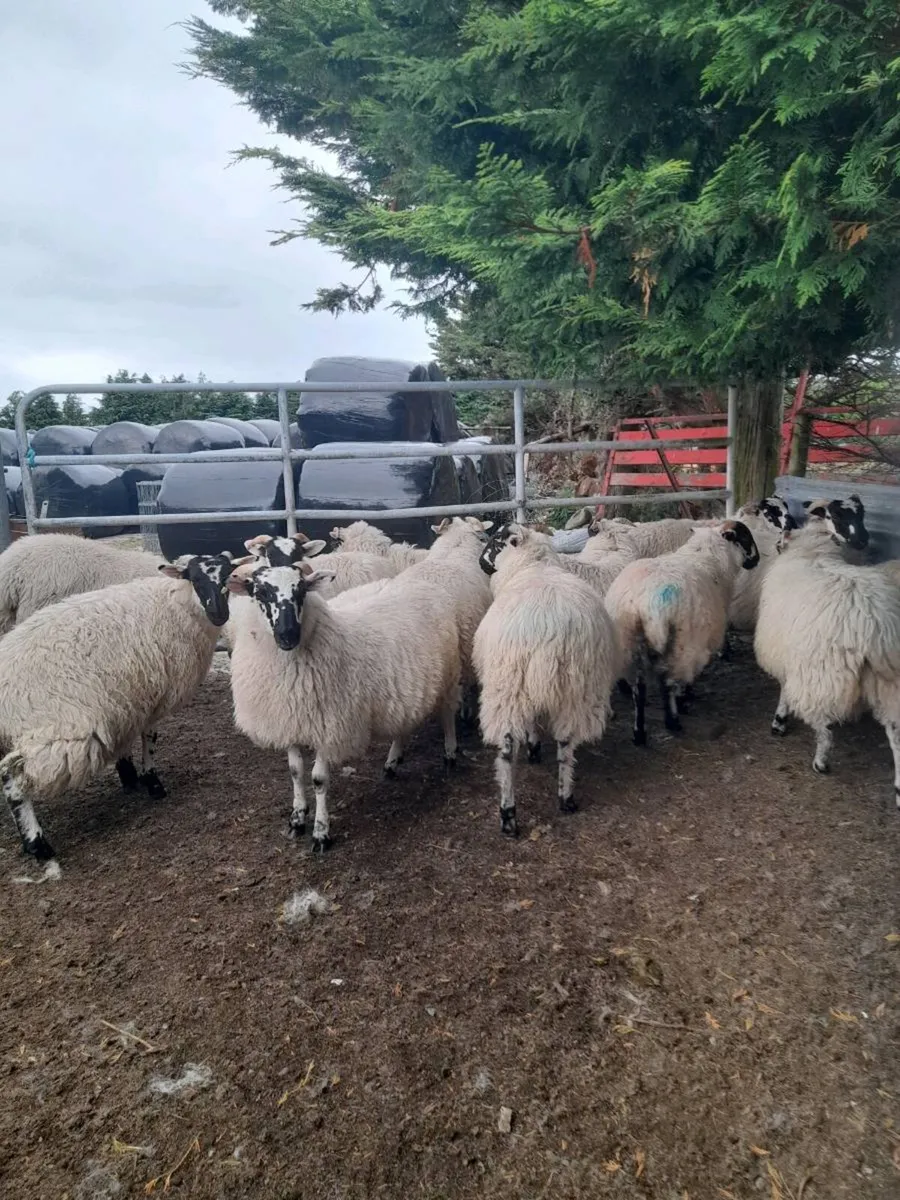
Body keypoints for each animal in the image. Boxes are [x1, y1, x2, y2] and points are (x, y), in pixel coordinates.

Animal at [0, 552, 238, 864]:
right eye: (195, 578)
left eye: (227, 577)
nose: (220, 614)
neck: (174, 604)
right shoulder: (155, 694)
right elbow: (149, 738)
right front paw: (152, 783)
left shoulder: (127, 699)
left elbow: (127, 739)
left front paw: (129, 775)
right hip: (58, 734)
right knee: (13, 779)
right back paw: (37, 843)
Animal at [226, 558, 462, 853]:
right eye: (260, 593)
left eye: (301, 590)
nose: (288, 635)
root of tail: (423, 584)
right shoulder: (289, 720)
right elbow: (295, 772)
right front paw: (297, 819)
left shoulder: (329, 726)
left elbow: (318, 780)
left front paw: (321, 833)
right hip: (407, 688)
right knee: (404, 724)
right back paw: (392, 762)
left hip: (449, 675)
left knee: (448, 714)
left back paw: (450, 755)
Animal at [472, 523, 622, 836]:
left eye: (495, 541)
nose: (480, 563)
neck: (533, 565)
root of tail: (551, 633)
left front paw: (533, 748)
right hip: (578, 688)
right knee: (566, 743)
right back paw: (566, 797)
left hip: (509, 686)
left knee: (507, 750)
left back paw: (508, 815)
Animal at [604, 520, 760, 744]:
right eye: (745, 536)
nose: (756, 560)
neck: (709, 554)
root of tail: (645, 603)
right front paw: (686, 698)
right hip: (680, 643)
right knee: (667, 682)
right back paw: (673, 720)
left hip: (630, 643)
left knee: (639, 691)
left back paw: (639, 733)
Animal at [754, 495, 900, 802]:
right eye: (838, 515)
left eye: (859, 515)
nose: (863, 541)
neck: (814, 549)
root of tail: (876, 627)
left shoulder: (789, 653)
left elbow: (784, 687)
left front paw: (780, 720)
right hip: (889, 683)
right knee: (896, 735)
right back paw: (898, 790)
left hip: (824, 673)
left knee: (825, 724)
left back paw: (821, 761)